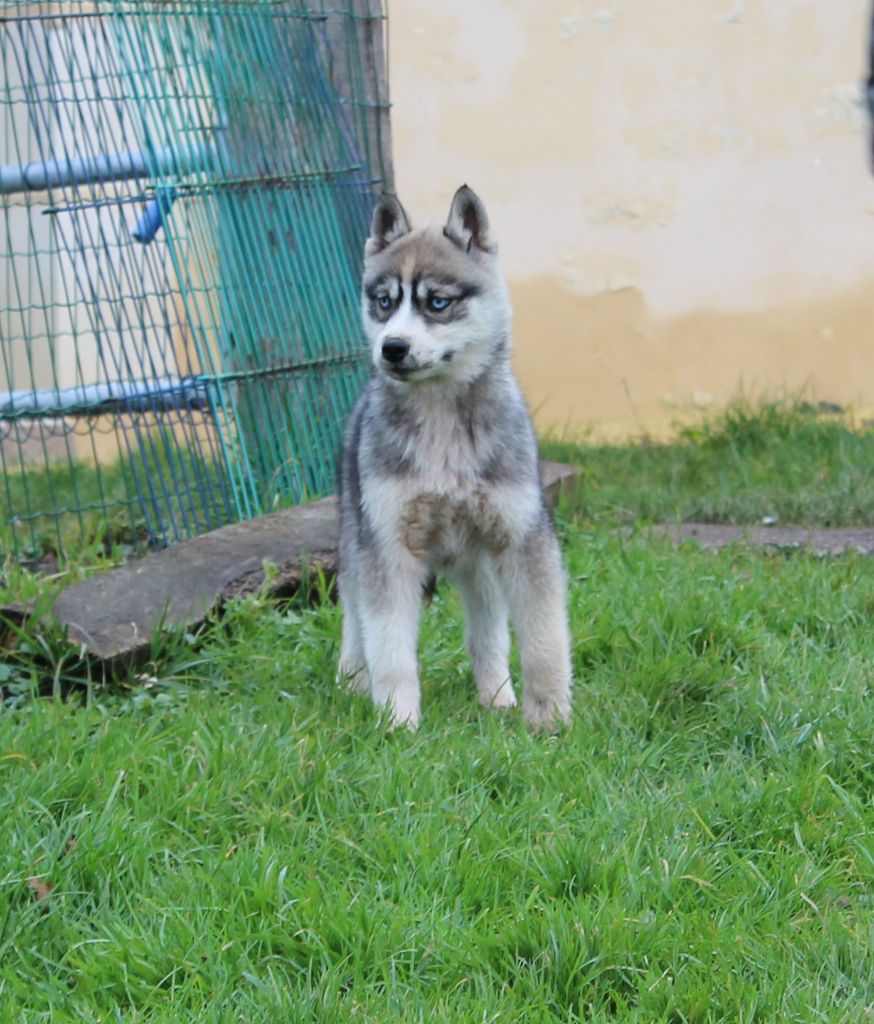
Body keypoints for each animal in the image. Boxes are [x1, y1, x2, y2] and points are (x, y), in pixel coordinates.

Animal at [336, 185, 572, 731]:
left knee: (487, 634)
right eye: (384, 302)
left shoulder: (523, 537)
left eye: (437, 303)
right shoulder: (387, 548)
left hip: (479, 566)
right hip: (355, 543)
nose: (392, 348)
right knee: (354, 619)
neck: (442, 418)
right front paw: (397, 723)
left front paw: (550, 719)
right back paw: (351, 681)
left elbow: (544, 639)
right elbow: (389, 647)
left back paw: (497, 697)